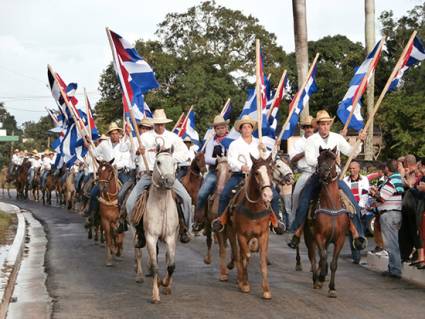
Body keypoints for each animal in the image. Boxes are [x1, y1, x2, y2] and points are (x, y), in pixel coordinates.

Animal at [304, 148, 350, 300]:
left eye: (332, 158)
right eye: (319, 158)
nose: (323, 173)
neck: (331, 206)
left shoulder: (340, 239)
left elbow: (333, 263)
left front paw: (332, 288)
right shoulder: (319, 236)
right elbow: (323, 257)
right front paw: (321, 277)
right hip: (309, 238)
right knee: (313, 256)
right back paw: (316, 278)